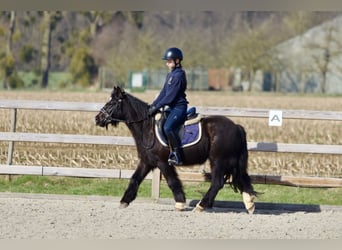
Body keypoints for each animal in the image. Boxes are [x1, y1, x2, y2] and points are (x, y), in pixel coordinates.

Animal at [95, 86, 258, 213]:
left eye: (112, 102)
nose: (97, 119)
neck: (146, 127)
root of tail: (236, 126)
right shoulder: (147, 161)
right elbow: (135, 179)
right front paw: (124, 201)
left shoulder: (162, 162)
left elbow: (172, 181)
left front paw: (180, 203)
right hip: (230, 161)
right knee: (242, 179)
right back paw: (249, 204)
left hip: (219, 161)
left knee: (217, 183)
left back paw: (201, 206)